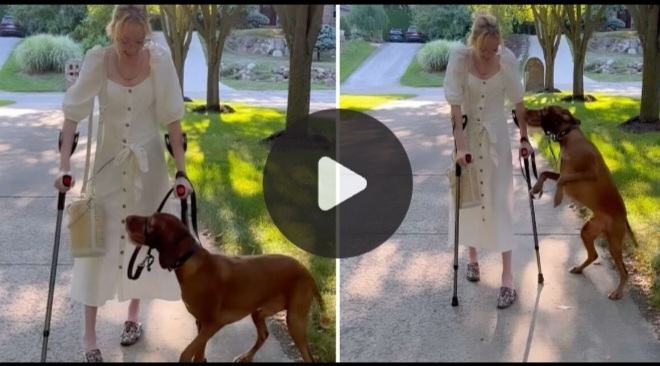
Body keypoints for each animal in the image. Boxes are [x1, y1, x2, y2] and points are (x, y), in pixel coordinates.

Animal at [124, 213, 330, 362]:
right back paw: (246, 357)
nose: (125, 218)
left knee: (308, 357)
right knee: (264, 334)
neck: (190, 262)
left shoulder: (213, 323)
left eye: (151, 223)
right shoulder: (201, 323)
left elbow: (186, 353)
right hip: (259, 312)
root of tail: (306, 271)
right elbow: (198, 354)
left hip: (294, 320)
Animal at [524, 106, 636, 300]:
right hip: (588, 231)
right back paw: (579, 268)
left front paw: (557, 197)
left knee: (624, 271)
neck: (570, 137)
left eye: (543, 111)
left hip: (614, 243)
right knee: (594, 255)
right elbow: (545, 173)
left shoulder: (589, 173)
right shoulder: (562, 172)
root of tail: (624, 217)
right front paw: (536, 188)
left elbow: (561, 180)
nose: (522, 111)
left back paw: (617, 292)